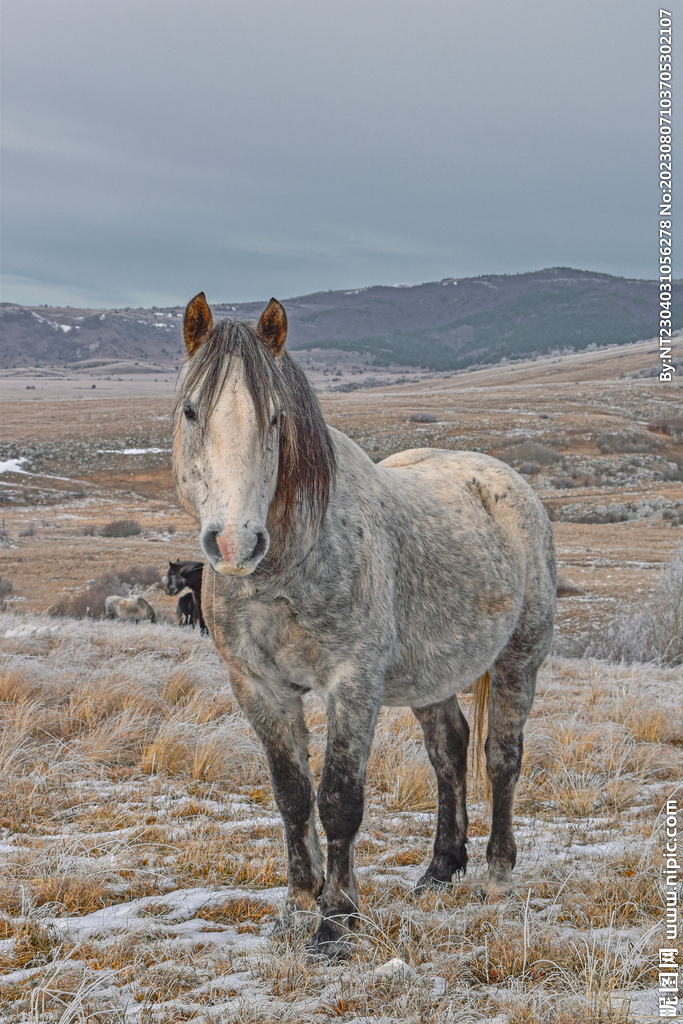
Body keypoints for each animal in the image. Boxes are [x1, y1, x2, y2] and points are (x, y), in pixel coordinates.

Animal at [173, 292, 556, 956]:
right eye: (192, 410)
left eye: (276, 419)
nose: (234, 543)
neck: (288, 568)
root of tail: (506, 481)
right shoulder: (258, 688)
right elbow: (293, 796)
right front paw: (298, 906)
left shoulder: (352, 684)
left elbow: (340, 800)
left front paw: (336, 920)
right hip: (432, 676)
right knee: (449, 753)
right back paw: (439, 870)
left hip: (518, 662)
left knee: (501, 758)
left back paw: (497, 874)